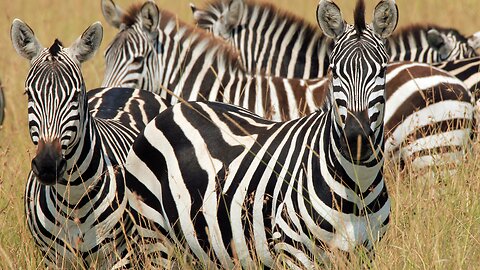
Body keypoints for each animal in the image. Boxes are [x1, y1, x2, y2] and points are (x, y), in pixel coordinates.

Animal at [10, 19, 168, 268]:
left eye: (75, 96)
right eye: (29, 95)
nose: (47, 165)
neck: (73, 198)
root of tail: (124, 89)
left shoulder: (120, 257)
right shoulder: (52, 259)